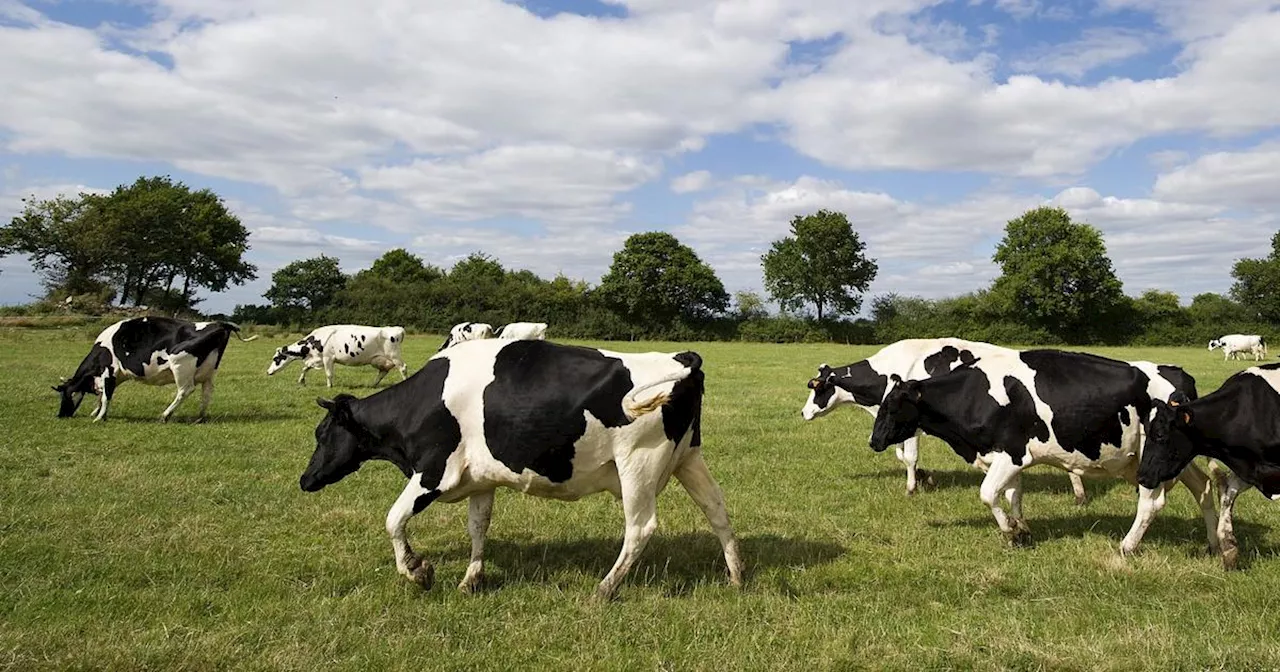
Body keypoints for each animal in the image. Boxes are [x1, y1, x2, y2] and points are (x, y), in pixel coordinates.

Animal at [53, 317, 257, 422]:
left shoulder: (108, 370)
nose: (60, 415)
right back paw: (200, 417)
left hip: (180, 364)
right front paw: (96, 412)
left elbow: (105, 395)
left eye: (65, 395)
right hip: (208, 372)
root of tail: (220, 324)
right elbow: (104, 394)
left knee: (185, 390)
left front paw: (99, 417)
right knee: (207, 392)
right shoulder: (114, 376)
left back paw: (165, 415)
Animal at [267, 322, 407, 384]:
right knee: (383, 371)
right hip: (380, 359)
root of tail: (397, 329)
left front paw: (329, 387)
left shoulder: (328, 358)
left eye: (276, 359)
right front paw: (301, 381)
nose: (268, 372)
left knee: (403, 368)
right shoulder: (317, 359)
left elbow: (329, 374)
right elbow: (305, 368)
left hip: (394, 355)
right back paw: (372, 385)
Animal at [296, 337, 742, 599]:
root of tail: (680, 357)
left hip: (638, 464)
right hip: (689, 458)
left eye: (322, 433)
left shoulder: (434, 472)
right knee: (717, 510)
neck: (422, 402)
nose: (305, 479)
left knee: (640, 528)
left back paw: (604, 588)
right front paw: (471, 579)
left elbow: (393, 520)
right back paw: (736, 577)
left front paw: (419, 572)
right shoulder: (479, 479)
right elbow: (478, 526)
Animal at [865, 348, 1213, 552]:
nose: (874, 441)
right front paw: (1022, 530)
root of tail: (1178, 373)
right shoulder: (1007, 457)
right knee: (1205, 486)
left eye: (892, 407)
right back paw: (1217, 543)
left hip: (1150, 457)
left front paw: (1011, 532)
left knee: (1151, 503)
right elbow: (1012, 496)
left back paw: (1127, 545)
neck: (974, 394)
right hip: (1174, 459)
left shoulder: (1012, 452)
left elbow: (988, 494)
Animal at [1136, 363, 1280, 568]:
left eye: (1160, 434)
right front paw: (1228, 549)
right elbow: (1227, 494)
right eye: (1146, 431)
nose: (1142, 476)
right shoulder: (1250, 468)